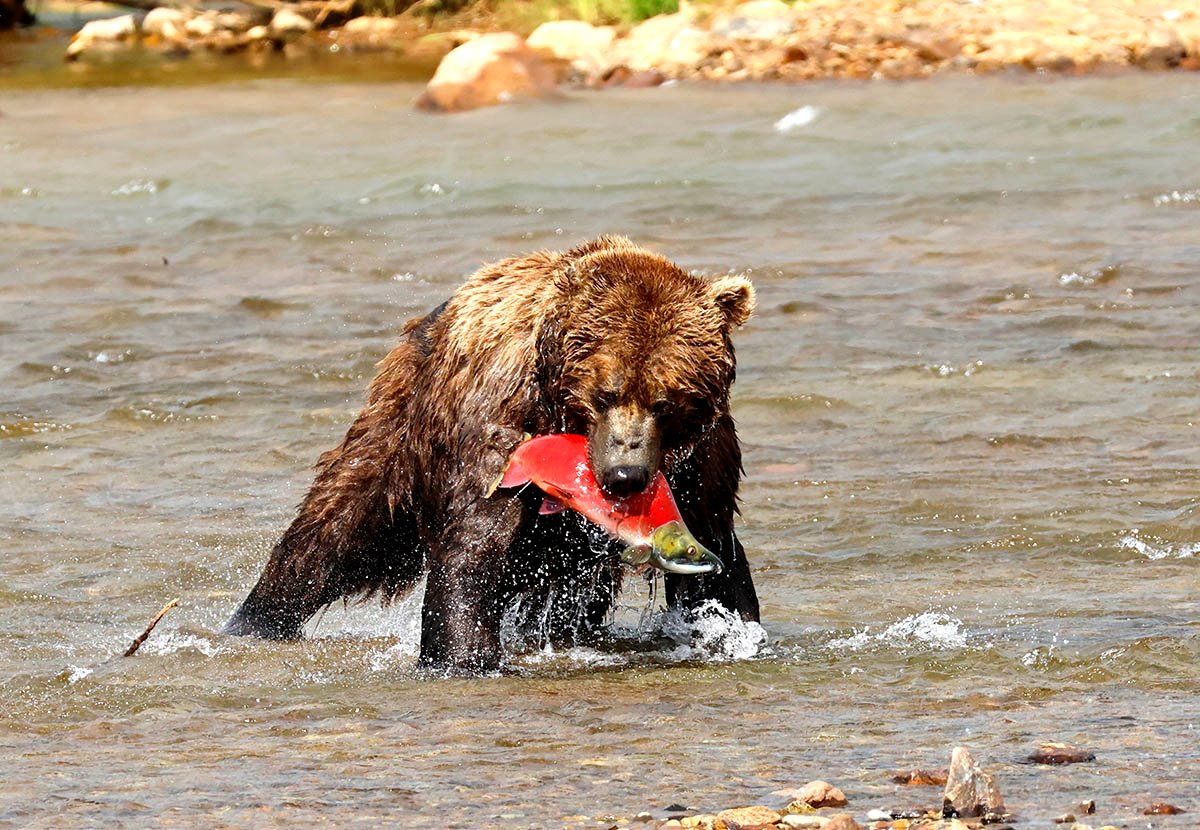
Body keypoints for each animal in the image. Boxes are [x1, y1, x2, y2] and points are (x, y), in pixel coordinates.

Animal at [225, 235, 758, 676]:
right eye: (605, 394)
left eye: (664, 402)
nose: (625, 474)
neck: (557, 410)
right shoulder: (499, 424)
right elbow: (475, 545)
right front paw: (464, 658)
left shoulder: (700, 468)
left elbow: (717, 556)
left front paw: (733, 634)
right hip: (401, 429)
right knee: (338, 525)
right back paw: (255, 618)